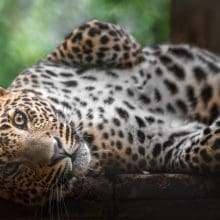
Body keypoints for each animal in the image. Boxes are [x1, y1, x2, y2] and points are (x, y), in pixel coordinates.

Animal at [0, 19, 220, 206]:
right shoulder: (167, 143)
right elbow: (206, 148)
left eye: (20, 119)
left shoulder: (51, 60)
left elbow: (91, 31)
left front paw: (138, 54)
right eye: (11, 169)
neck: (82, 120)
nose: (58, 151)